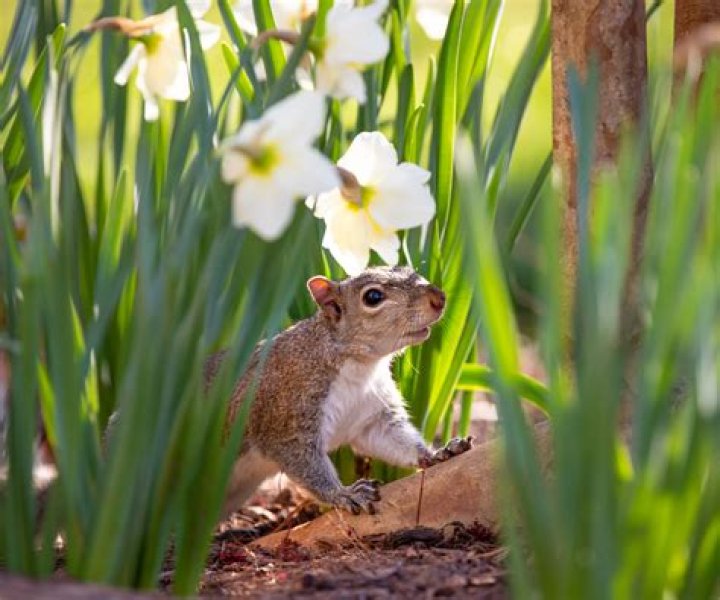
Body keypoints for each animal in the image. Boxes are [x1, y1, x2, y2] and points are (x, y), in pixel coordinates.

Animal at [206, 266, 472, 517]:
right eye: (373, 297)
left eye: (409, 269)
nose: (439, 297)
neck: (359, 367)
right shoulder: (287, 419)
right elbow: (304, 463)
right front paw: (344, 494)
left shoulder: (372, 417)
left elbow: (395, 440)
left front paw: (438, 453)